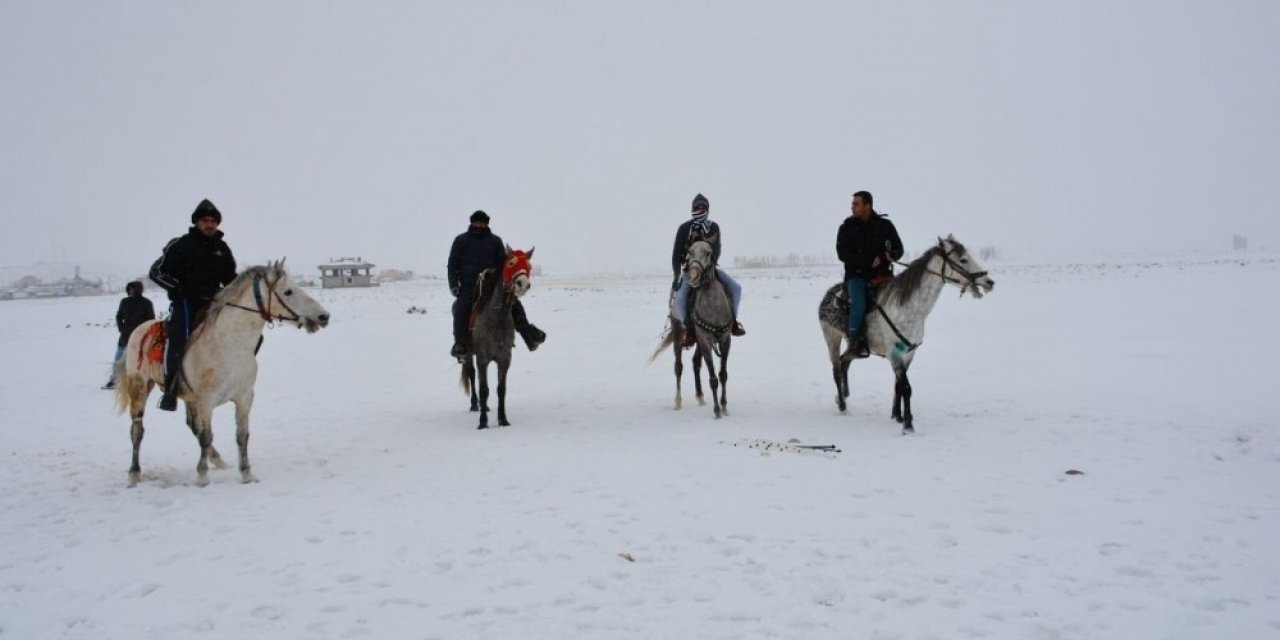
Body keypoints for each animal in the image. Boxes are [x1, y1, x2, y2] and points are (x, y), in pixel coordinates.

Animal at [113, 259, 330, 483]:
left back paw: (219, 461)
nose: (324, 316)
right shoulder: (206, 401)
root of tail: (140, 329)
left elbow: (241, 435)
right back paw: (134, 473)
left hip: (189, 398)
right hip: (140, 388)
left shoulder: (244, 398)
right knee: (138, 430)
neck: (229, 345)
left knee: (192, 426)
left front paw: (246, 473)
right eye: (288, 291)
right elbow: (206, 435)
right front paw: (202, 476)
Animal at [458, 244, 532, 430]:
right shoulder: (482, 358)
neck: (496, 319)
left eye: (529, 266)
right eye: (511, 262)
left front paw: (503, 420)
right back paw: (475, 405)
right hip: (468, 354)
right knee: (471, 374)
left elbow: (501, 389)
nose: (523, 284)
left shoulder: (505, 358)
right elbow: (484, 389)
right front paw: (483, 422)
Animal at [655, 240, 737, 419]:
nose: (693, 277)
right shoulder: (705, 339)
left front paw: (724, 407)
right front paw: (716, 411)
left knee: (695, 363)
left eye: (708, 253)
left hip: (698, 341)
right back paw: (678, 402)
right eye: (689, 253)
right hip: (679, 335)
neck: (714, 307)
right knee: (678, 367)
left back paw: (700, 397)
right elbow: (713, 378)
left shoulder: (725, 339)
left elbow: (723, 375)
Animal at [819, 235, 998, 435]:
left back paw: (842, 397)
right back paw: (842, 405)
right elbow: (906, 387)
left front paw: (897, 415)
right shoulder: (894, 354)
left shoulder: (909, 353)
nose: (989, 282)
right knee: (836, 367)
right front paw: (908, 424)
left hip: (853, 348)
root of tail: (829, 295)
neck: (910, 309)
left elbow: (898, 386)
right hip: (832, 339)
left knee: (844, 363)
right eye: (963, 259)